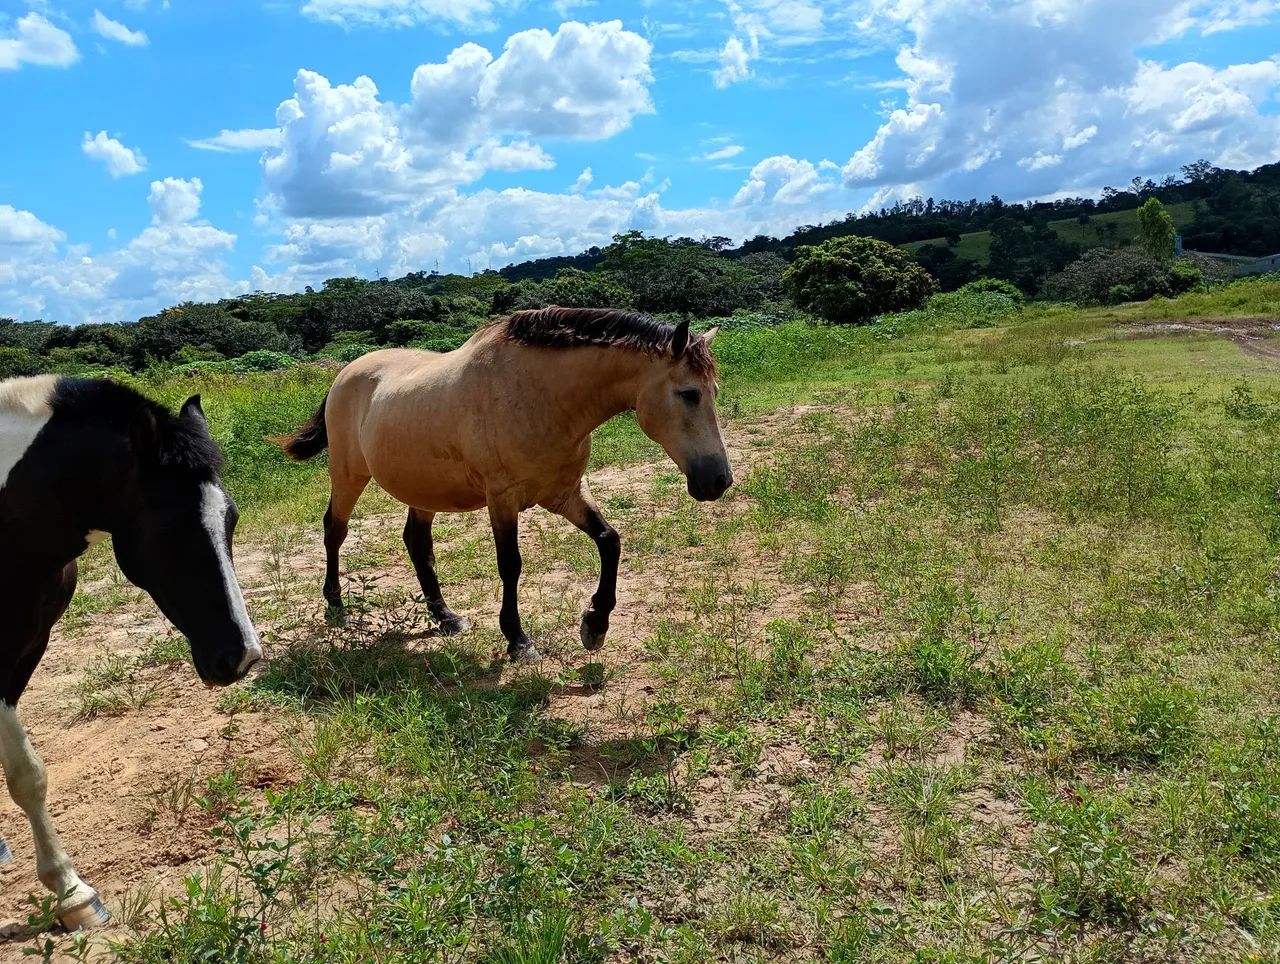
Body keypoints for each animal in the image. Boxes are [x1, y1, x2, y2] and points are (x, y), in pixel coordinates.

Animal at [0, 375, 263, 931]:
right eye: (172, 528)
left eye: (229, 519)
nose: (243, 657)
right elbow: (25, 776)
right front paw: (70, 892)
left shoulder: (22, 652)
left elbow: (28, 774)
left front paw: (70, 893)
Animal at [278, 306, 733, 663]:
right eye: (689, 393)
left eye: (713, 390)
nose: (718, 480)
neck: (542, 396)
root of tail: (346, 373)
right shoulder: (503, 500)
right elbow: (511, 565)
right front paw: (518, 640)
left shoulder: (565, 493)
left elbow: (610, 541)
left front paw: (595, 624)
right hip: (348, 475)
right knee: (335, 530)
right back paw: (336, 606)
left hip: (422, 488)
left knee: (416, 542)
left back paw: (445, 617)